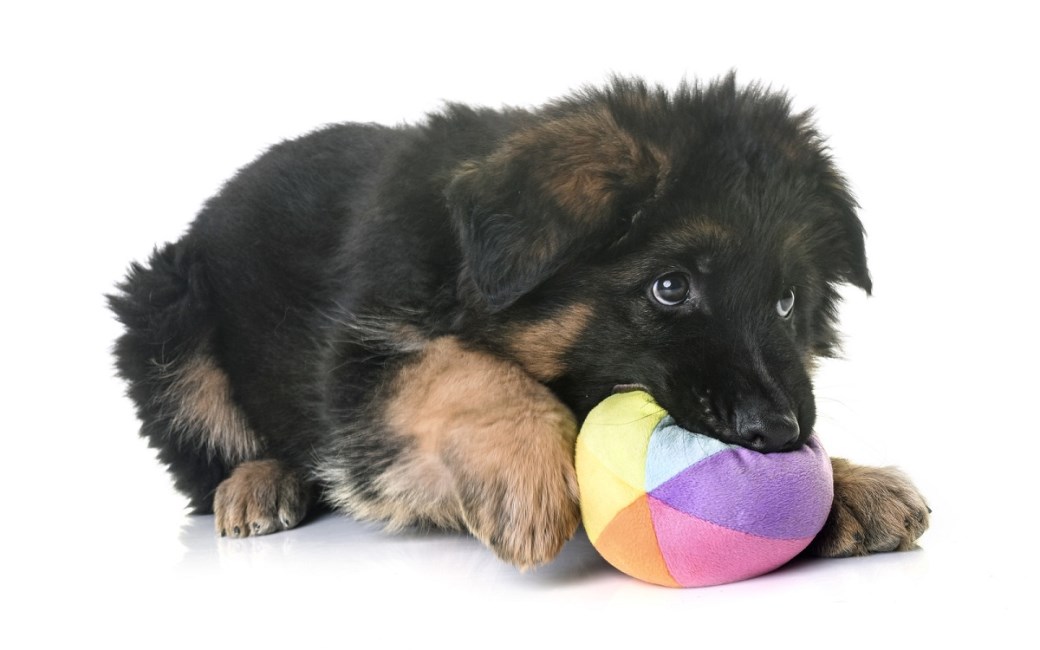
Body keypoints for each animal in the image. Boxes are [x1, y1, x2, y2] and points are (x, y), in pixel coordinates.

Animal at [109, 75, 931, 565]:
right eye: (670, 288)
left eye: (788, 302)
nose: (780, 434)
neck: (463, 256)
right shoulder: (361, 362)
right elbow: (454, 365)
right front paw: (529, 470)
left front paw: (847, 483)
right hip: (162, 313)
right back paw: (257, 481)